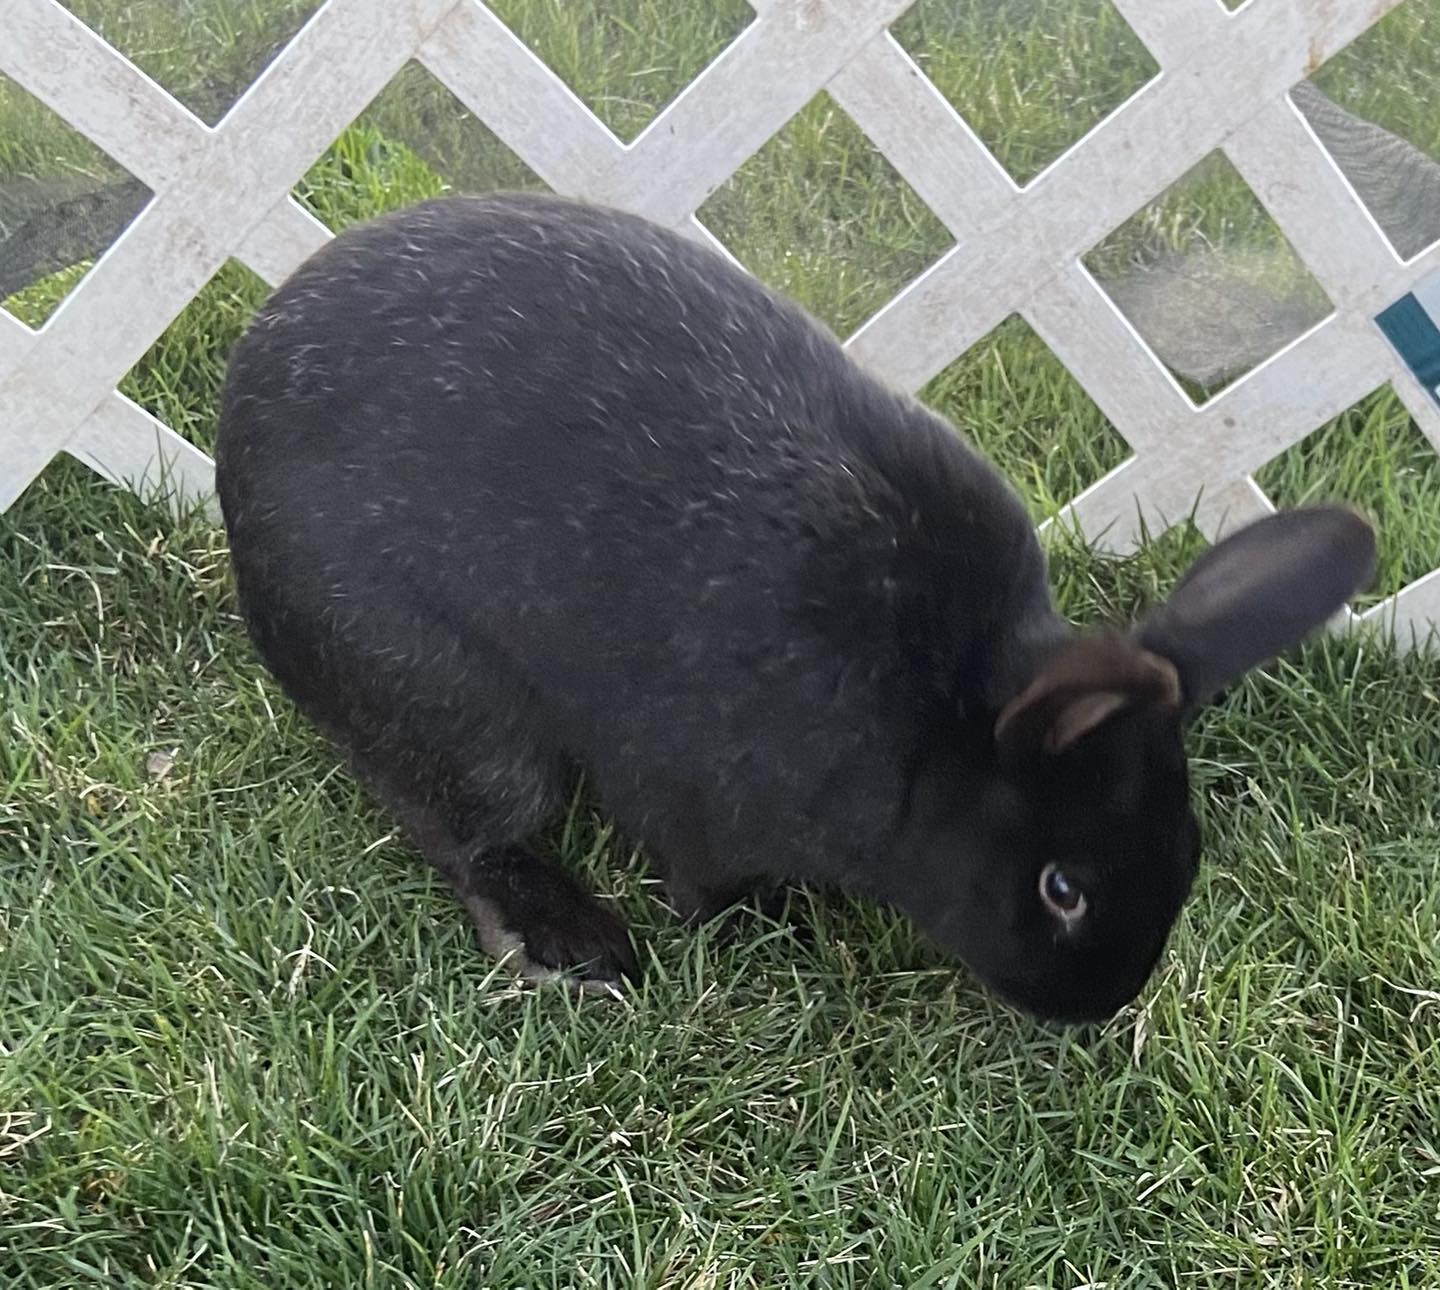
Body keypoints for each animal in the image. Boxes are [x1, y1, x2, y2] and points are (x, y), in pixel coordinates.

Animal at [214, 192, 1376, 1023]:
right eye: (1062, 889)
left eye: (1188, 850)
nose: (1097, 1007)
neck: (937, 720)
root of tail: (239, 430)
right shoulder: (695, 798)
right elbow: (699, 878)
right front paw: (759, 927)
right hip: (442, 694)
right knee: (461, 825)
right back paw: (574, 948)